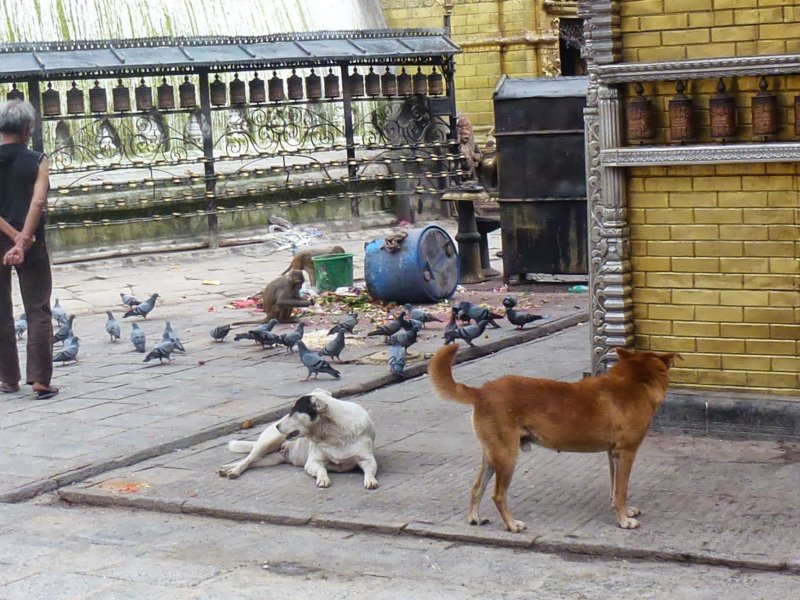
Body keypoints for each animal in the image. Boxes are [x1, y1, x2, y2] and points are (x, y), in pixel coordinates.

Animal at [217, 386, 380, 490]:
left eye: (294, 411)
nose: (277, 425)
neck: (334, 434)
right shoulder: (313, 462)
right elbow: (322, 469)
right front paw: (323, 478)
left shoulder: (367, 459)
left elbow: (370, 470)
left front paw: (370, 480)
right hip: (267, 443)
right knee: (248, 460)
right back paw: (233, 470)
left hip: (273, 459)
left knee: (253, 463)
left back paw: (227, 468)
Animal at [428, 344, 680, 532]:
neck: (634, 380)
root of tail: (481, 392)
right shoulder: (626, 453)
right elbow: (622, 490)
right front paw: (623, 520)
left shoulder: (612, 454)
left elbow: (615, 488)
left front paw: (623, 511)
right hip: (507, 457)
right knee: (498, 495)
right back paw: (512, 525)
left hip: (492, 456)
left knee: (476, 487)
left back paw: (475, 517)